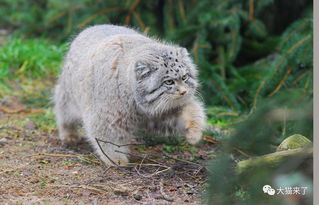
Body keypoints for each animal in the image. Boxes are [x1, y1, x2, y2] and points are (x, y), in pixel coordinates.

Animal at [53, 24, 206, 166]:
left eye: (185, 77)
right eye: (169, 81)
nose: (184, 91)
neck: (136, 103)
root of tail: (91, 27)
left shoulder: (162, 113)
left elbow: (191, 112)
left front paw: (194, 132)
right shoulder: (106, 117)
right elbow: (108, 139)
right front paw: (115, 159)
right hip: (68, 97)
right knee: (63, 113)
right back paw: (68, 134)